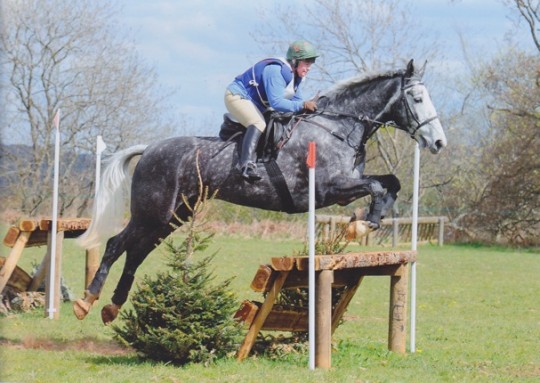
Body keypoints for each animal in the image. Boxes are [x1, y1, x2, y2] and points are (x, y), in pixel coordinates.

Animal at [75, 60, 448, 324]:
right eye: (417, 98)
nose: (438, 143)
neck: (338, 126)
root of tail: (150, 148)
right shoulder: (329, 188)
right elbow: (376, 185)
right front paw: (362, 224)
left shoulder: (344, 186)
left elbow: (389, 183)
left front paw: (368, 221)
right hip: (153, 211)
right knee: (117, 244)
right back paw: (87, 301)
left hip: (173, 215)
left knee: (137, 252)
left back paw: (112, 307)